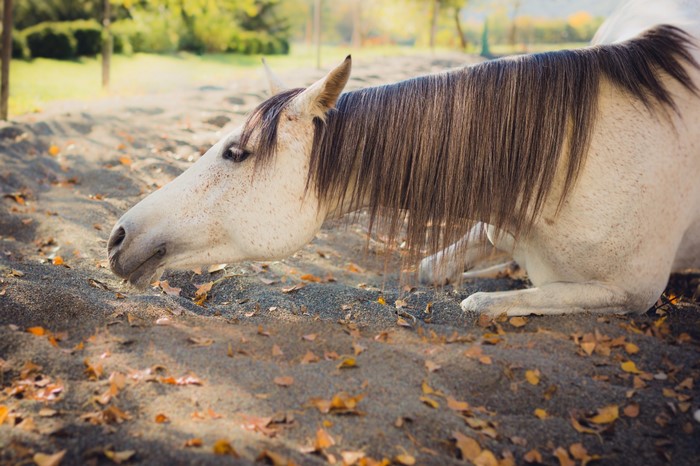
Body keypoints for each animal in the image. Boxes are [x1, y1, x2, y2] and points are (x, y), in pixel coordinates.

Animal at [108, 0, 700, 316]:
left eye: (236, 152)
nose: (117, 236)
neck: (569, 173)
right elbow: (433, 268)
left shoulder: (631, 293)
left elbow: (483, 303)